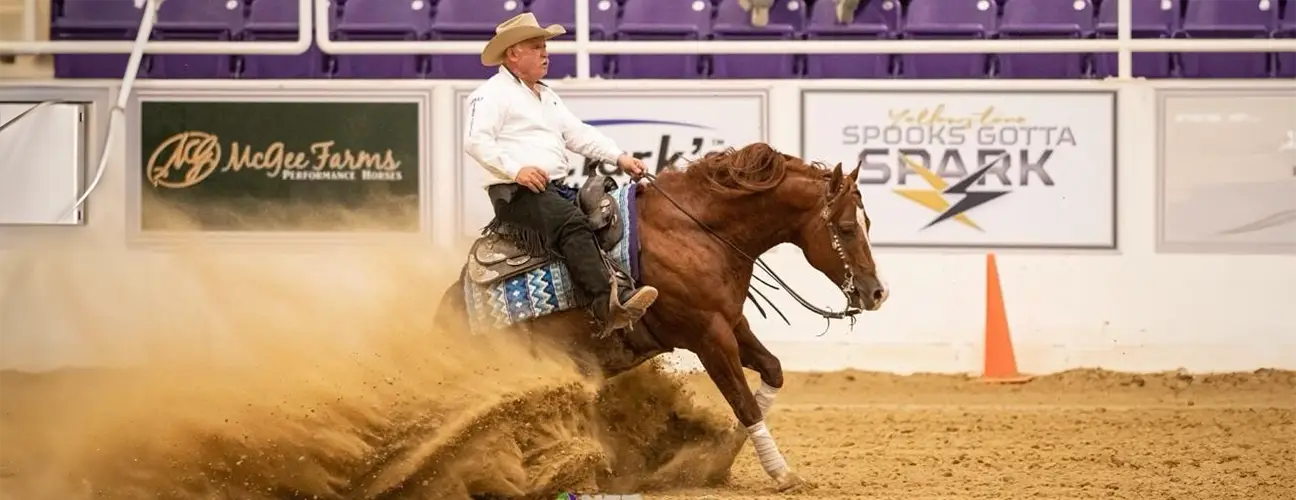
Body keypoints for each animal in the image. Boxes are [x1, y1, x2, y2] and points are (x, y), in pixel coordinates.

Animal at [435, 142, 888, 491]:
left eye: (868, 221)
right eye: (847, 228)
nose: (876, 293)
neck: (696, 231)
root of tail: (448, 311)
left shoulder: (731, 322)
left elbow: (771, 372)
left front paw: (723, 454)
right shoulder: (708, 335)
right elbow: (744, 403)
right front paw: (781, 473)